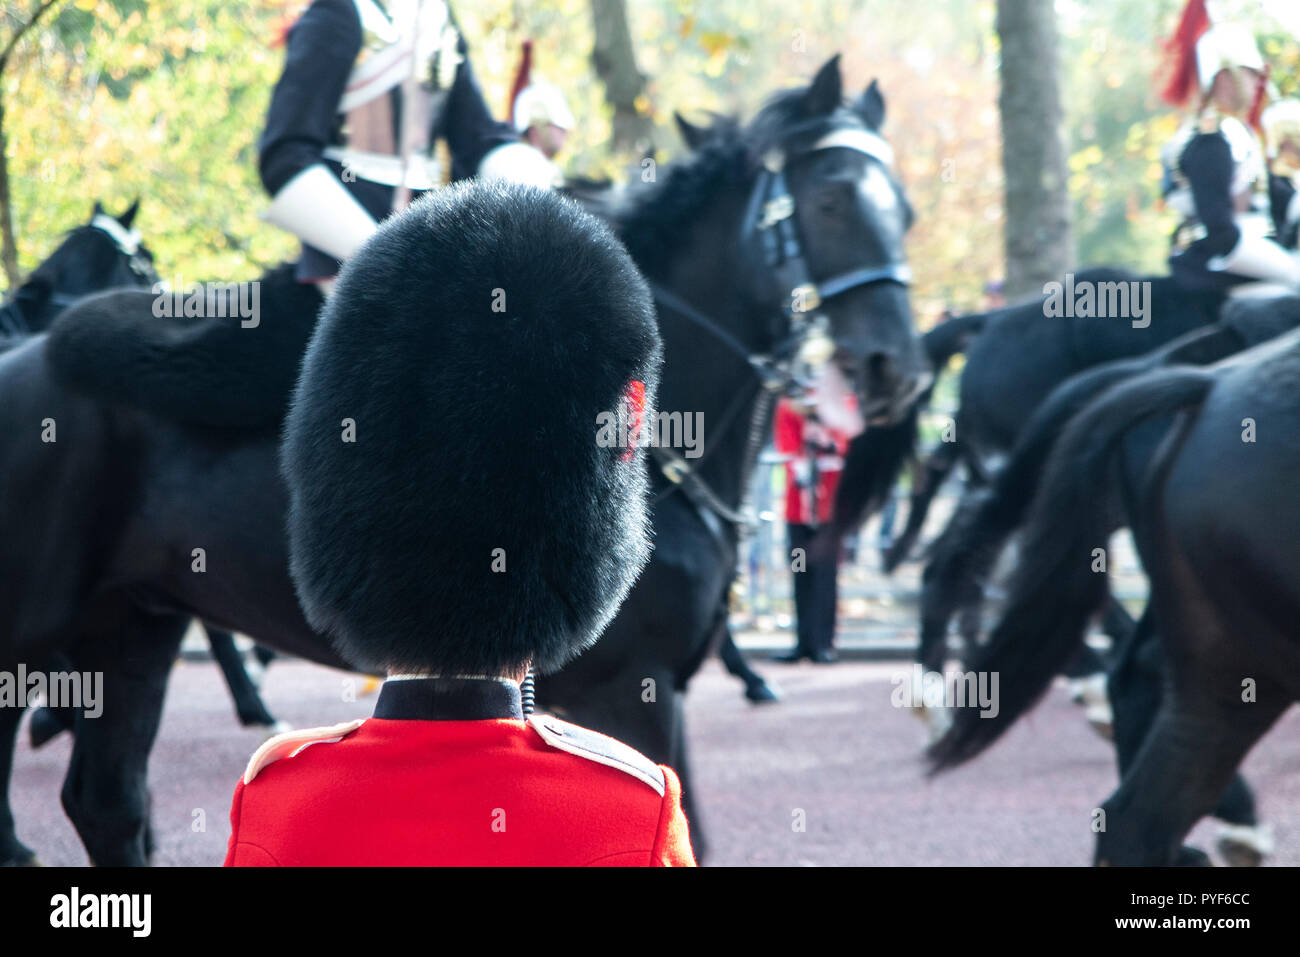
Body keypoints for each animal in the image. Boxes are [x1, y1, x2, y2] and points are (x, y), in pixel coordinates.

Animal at [5, 59, 930, 868]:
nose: (897, 370)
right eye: (832, 197)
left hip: (134, 622)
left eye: (909, 212)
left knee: (108, 801)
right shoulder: (632, 684)